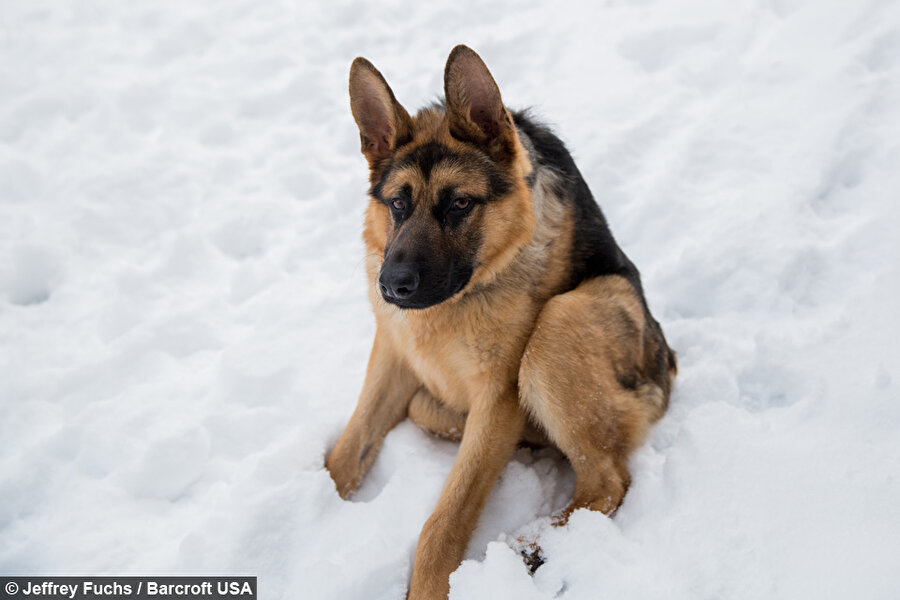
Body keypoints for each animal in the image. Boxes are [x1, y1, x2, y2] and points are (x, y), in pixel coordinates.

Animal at [326, 44, 676, 596]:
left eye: (459, 204)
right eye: (398, 203)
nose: (393, 286)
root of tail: (668, 365)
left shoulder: (497, 395)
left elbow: (444, 520)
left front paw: (428, 588)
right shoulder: (392, 349)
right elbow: (348, 450)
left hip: (559, 324)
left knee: (607, 482)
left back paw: (529, 549)